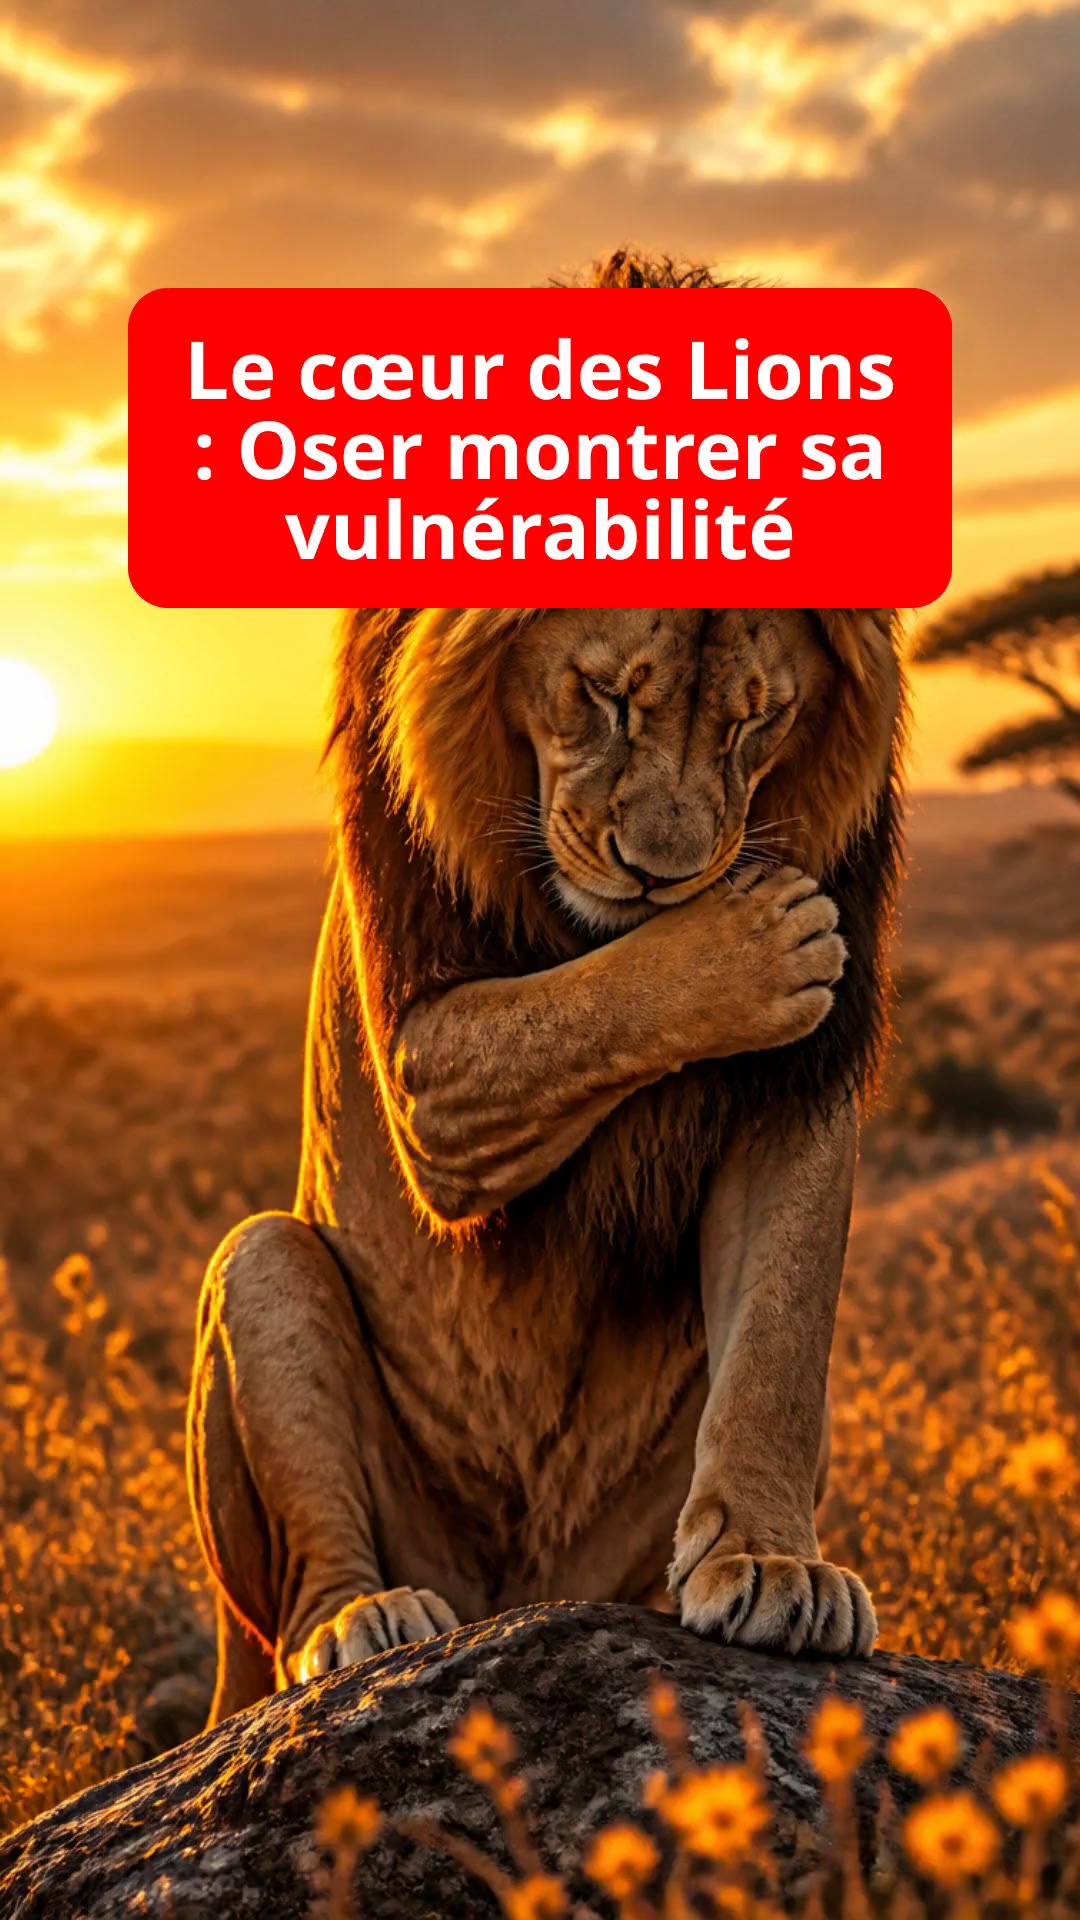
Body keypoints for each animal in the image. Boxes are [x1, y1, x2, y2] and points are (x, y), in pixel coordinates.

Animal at [187, 256, 906, 1727]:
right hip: (266, 1281)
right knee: (298, 1591)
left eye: (758, 716)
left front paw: (772, 1564)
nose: (663, 870)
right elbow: (583, 1004)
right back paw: (363, 1625)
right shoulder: (431, 1058)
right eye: (604, 696)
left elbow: (780, 1339)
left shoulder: (801, 1090)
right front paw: (748, 942)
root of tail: (512, 1596)